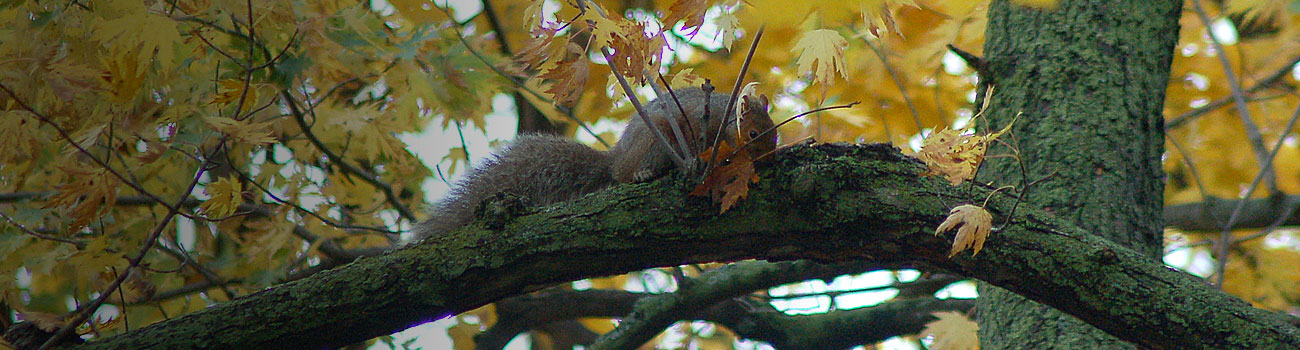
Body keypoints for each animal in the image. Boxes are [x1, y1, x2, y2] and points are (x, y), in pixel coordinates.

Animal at [413, 85, 769, 238]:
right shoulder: (697, 119)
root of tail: (615, 159)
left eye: (774, 133)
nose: (767, 154)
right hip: (653, 141)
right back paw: (642, 173)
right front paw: (702, 159)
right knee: (626, 174)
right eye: (753, 133)